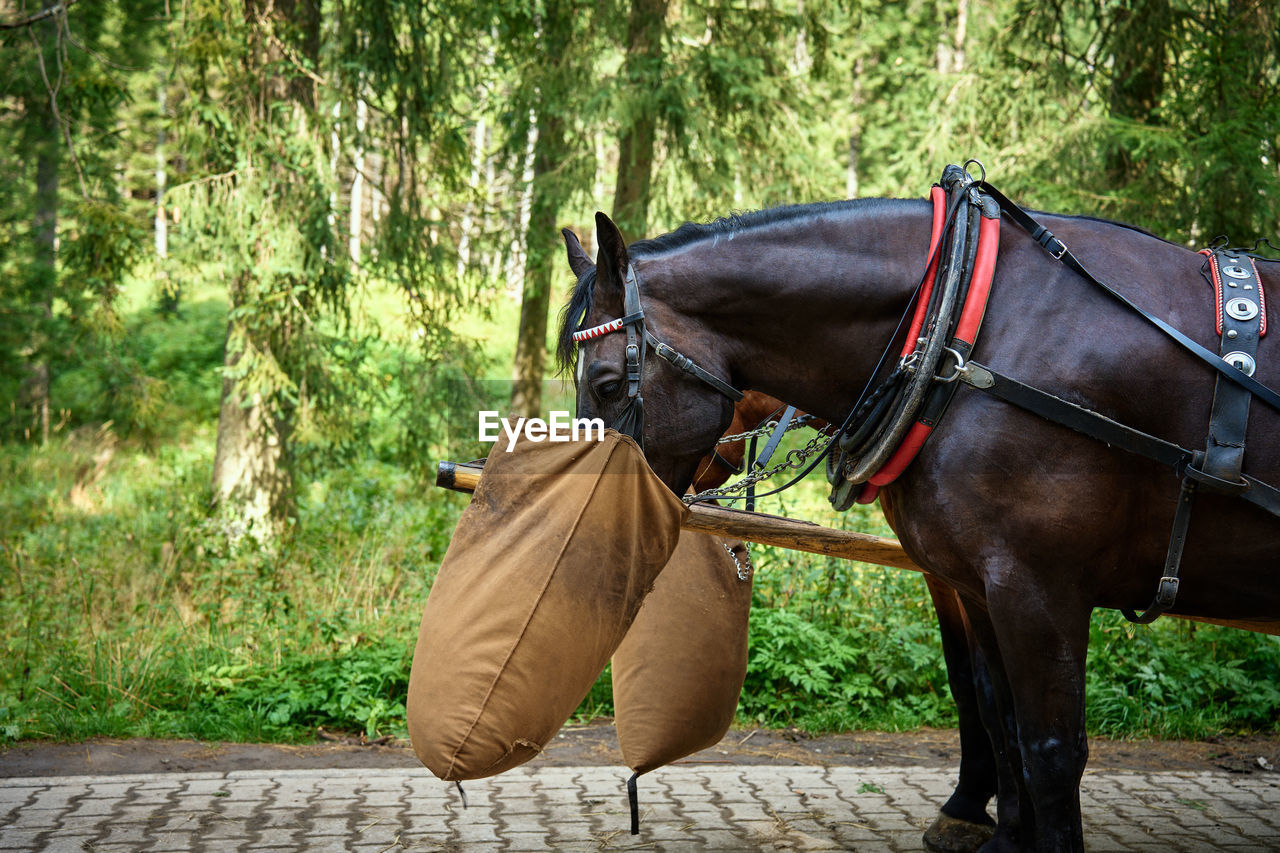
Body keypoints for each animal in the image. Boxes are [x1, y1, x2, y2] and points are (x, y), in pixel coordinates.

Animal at [558, 178, 1280, 845]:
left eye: (607, 384)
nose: (596, 518)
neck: (960, 336)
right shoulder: (971, 579)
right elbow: (989, 703)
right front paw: (988, 821)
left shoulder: (1039, 587)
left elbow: (1049, 750)